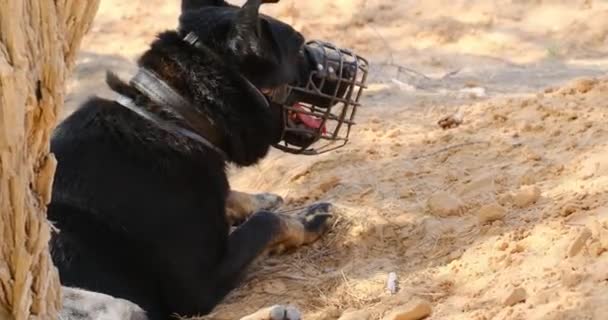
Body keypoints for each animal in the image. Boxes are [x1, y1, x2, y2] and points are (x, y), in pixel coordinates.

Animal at [50, 1, 334, 318]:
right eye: (298, 47)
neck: (169, 115)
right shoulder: (196, 288)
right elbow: (264, 224)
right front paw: (304, 219)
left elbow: (235, 198)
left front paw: (260, 199)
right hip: (110, 302)